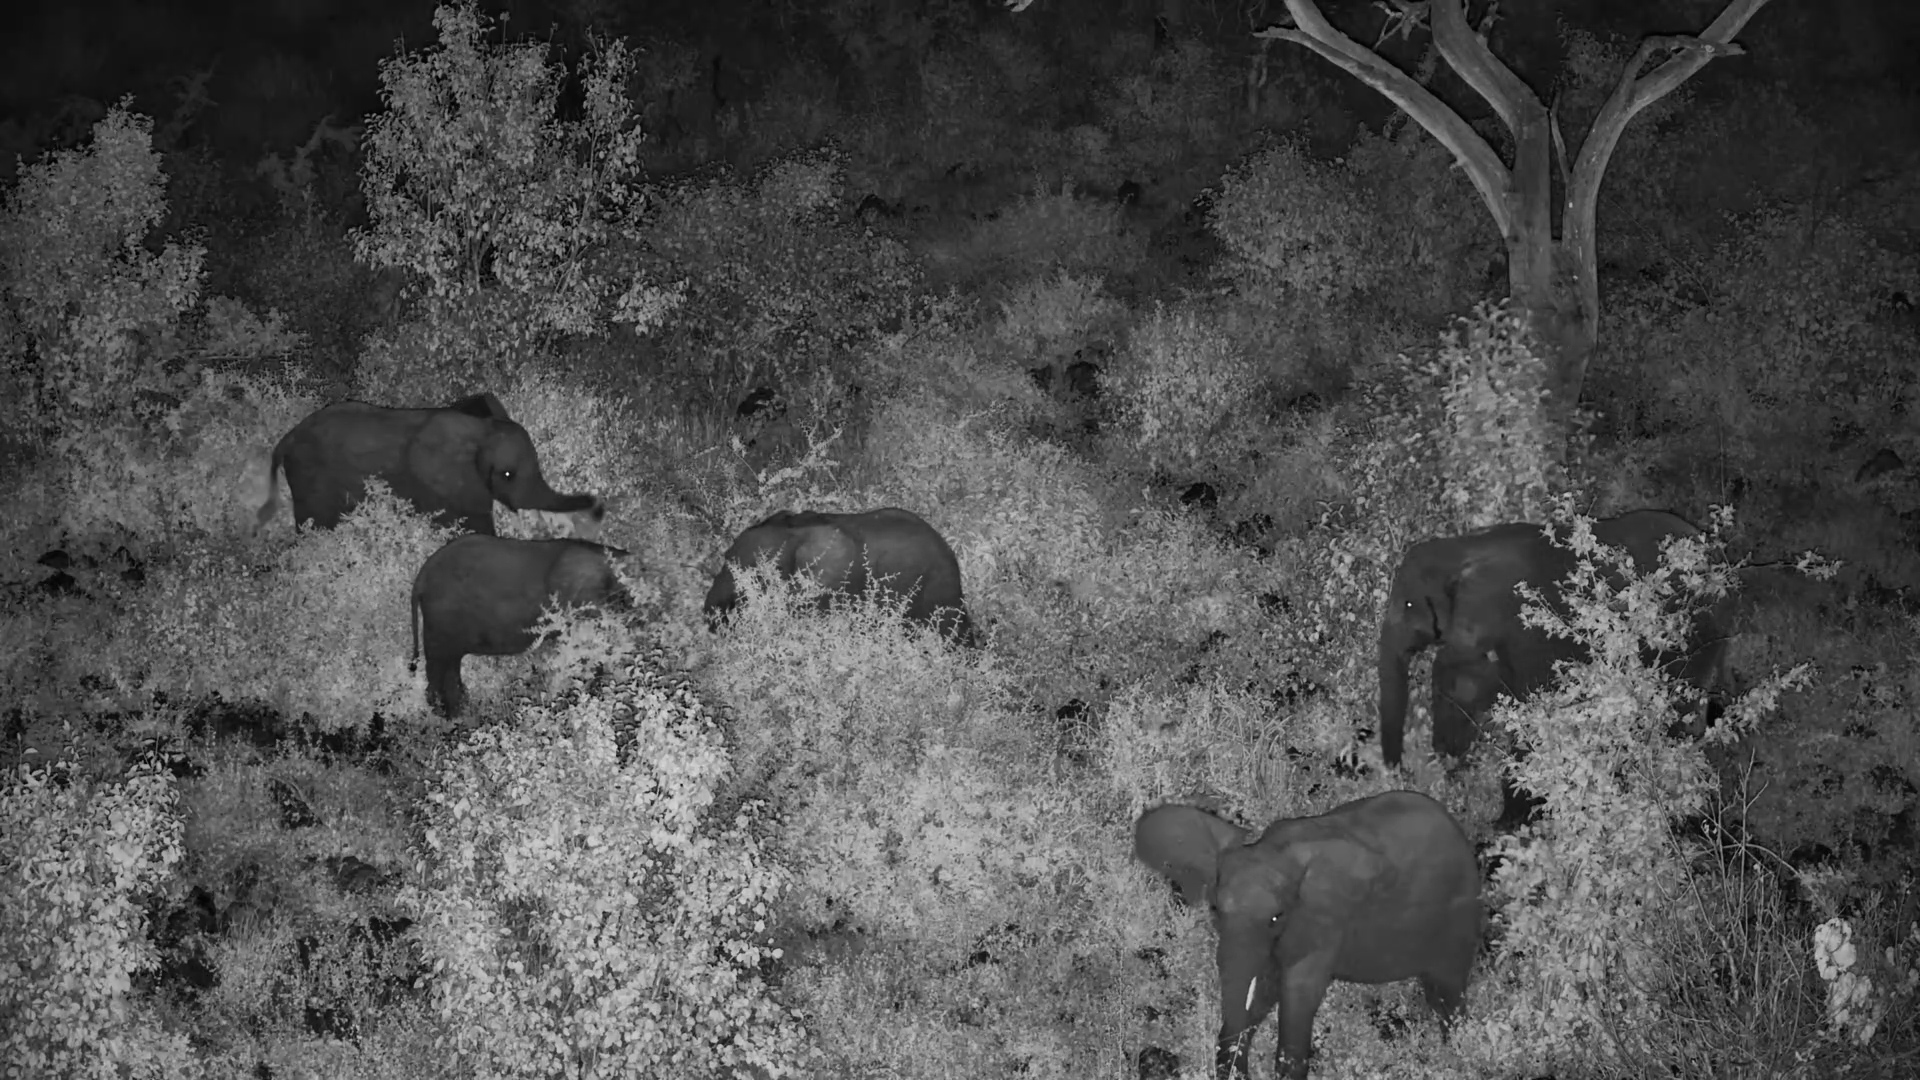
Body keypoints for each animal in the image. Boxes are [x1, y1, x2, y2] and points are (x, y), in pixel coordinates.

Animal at [258, 398, 601, 536]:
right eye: (507, 475)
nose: (597, 507)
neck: (480, 432)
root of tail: (286, 439)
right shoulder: (444, 487)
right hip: (309, 479)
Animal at [1133, 791, 1481, 1080]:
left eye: (1276, 917)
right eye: (1216, 909)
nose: (1240, 1074)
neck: (1280, 853)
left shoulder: (1325, 920)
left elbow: (1297, 992)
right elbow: (1263, 988)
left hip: (1458, 917)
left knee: (1449, 992)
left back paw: (1458, 1055)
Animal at [1378, 510, 1734, 823]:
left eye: (1408, 603)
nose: (1400, 772)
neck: (1463, 546)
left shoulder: (1517, 624)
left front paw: (1511, 822)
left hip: (1696, 631)